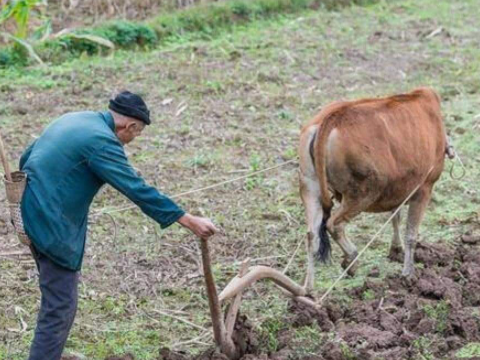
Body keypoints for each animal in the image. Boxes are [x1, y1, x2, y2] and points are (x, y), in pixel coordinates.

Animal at [298, 88, 448, 292]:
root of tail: (331, 119)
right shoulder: (424, 188)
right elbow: (411, 234)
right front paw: (408, 275)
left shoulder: (400, 187)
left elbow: (395, 217)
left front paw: (396, 251)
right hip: (361, 194)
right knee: (334, 224)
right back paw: (352, 260)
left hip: (310, 187)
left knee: (312, 236)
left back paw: (308, 289)